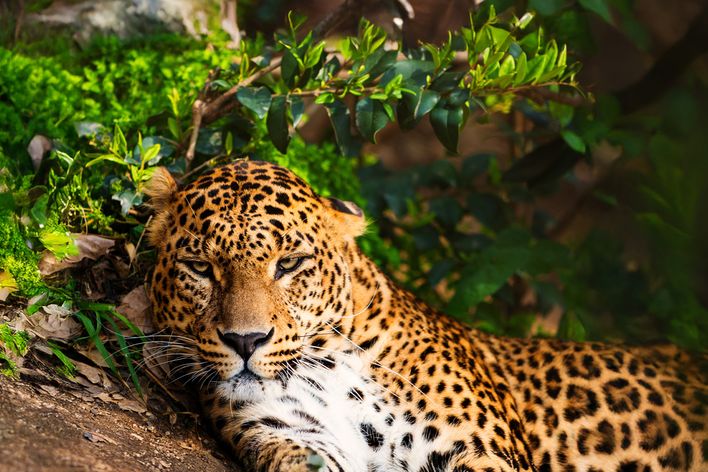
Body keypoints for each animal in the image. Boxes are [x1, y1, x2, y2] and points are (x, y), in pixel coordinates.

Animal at [145, 159, 707, 472]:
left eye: (289, 264)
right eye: (200, 268)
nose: (246, 341)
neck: (329, 364)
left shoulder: (479, 452)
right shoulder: (295, 436)